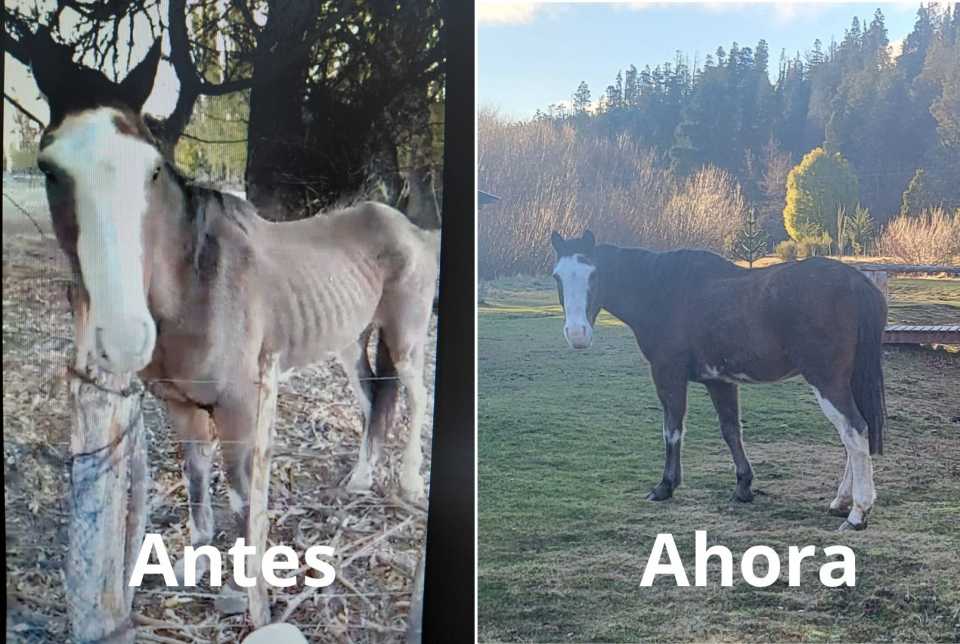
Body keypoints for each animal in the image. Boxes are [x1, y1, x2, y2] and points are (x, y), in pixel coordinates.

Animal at [31, 39, 440, 574]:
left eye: (153, 168)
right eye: (50, 170)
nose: (124, 338)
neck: (196, 291)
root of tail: (410, 226)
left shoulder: (241, 405)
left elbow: (243, 494)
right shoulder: (181, 405)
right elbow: (196, 477)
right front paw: (199, 557)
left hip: (404, 336)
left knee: (415, 396)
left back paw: (410, 482)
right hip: (349, 339)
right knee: (374, 399)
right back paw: (361, 478)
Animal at [549, 230, 887, 531]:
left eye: (594, 274)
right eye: (557, 277)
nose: (577, 334)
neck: (666, 293)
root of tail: (857, 282)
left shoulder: (668, 374)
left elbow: (672, 430)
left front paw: (665, 486)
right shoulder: (720, 381)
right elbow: (731, 431)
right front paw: (743, 487)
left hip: (827, 381)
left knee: (854, 431)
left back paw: (858, 513)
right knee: (854, 435)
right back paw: (841, 501)